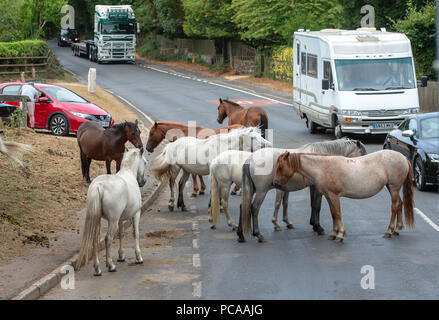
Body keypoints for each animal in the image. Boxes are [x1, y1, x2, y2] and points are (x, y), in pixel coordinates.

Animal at [75, 148, 148, 276]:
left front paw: (121, 255)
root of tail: (99, 186)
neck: (128, 173)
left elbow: (121, 234)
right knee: (108, 239)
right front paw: (138, 257)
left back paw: (97, 269)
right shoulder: (136, 214)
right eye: (144, 162)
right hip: (112, 221)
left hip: (98, 220)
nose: (143, 181)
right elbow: (136, 233)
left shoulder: (120, 219)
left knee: (95, 240)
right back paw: (110, 266)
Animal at [274, 150, 414, 242]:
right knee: (400, 204)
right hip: (391, 188)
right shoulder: (328, 196)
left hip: (394, 188)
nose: (275, 183)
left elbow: (337, 213)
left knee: (394, 206)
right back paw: (397, 229)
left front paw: (340, 234)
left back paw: (389, 231)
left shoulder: (334, 196)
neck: (323, 168)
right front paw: (334, 233)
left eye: (280, 167)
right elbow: (333, 214)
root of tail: (403, 157)